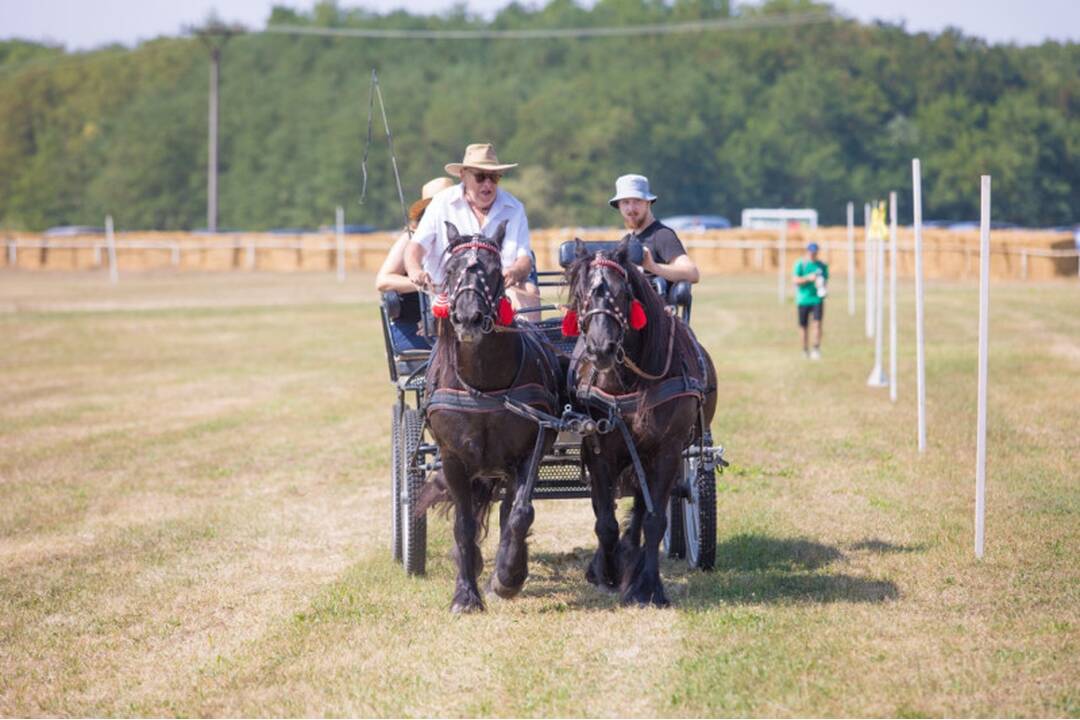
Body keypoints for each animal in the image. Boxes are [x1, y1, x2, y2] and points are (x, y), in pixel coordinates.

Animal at [416, 221, 561, 613]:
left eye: (496, 272)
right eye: (451, 270)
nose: (468, 317)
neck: (483, 384)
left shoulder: (528, 452)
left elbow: (519, 514)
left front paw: (508, 576)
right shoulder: (452, 459)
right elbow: (464, 525)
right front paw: (466, 595)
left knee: (506, 512)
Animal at [565, 239, 717, 604]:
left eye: (623, 293)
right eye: (581, 293)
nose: (601, 349)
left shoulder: (667, 451)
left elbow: (653, 519)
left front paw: (647, 586)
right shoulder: (599, 451)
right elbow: (605, 521)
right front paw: (606, 572)